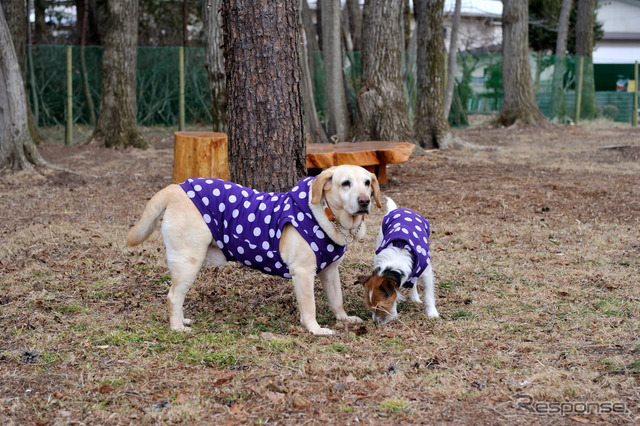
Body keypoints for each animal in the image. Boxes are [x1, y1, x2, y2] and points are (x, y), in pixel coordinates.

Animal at [125, 166, 380, 336]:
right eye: (345, 183)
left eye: (367, 183)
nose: (364, 201)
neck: (328, 216)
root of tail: (176, 188)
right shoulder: (303, 273)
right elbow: (310, 307)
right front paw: (316, 329)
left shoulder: (330, 271)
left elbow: (337, 299)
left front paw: (344, 318)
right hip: (189, 261)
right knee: (173, 296)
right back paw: (177, 327)